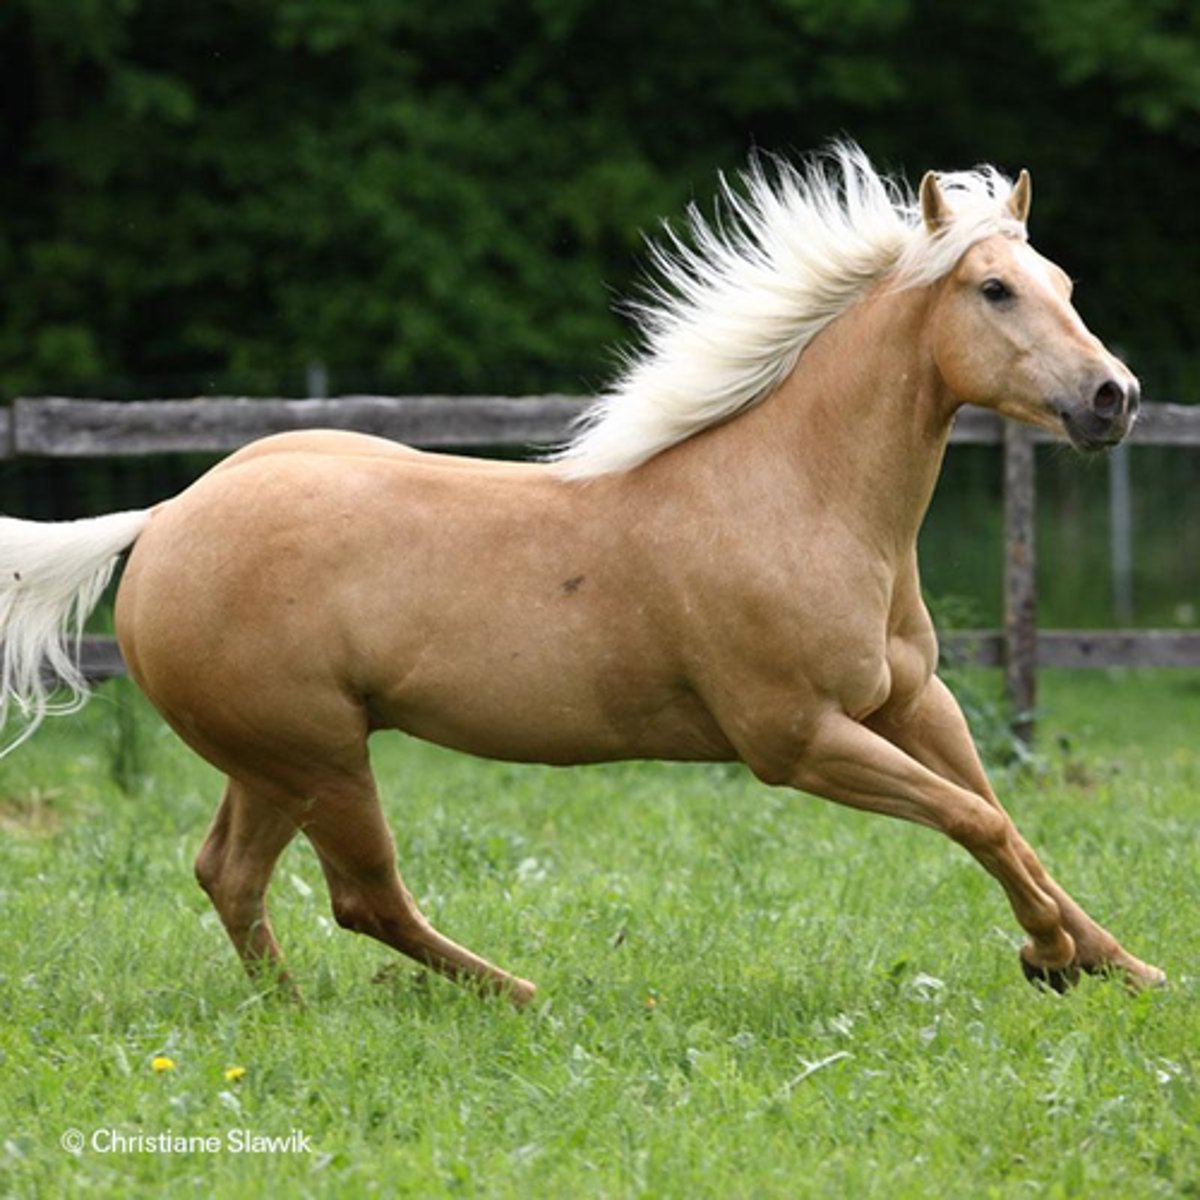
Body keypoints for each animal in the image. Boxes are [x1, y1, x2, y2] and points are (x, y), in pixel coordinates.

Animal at [0, 143, 1165, 1004]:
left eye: (1061, 283)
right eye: (995, 289)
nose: (1115, 398)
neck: (797, 497)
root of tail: (161, 520)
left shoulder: (914, 704)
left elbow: (1007, 823)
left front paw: (1119, 964)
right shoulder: (796, 741)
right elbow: (979, 820)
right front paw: (1049, 959)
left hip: (273, 761)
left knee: (232, 875)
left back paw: (289, 1010)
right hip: (319, 756)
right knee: (361, 897)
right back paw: (520, 996)